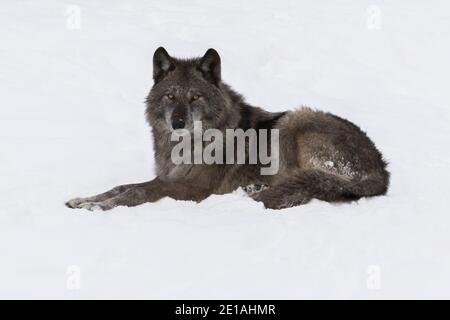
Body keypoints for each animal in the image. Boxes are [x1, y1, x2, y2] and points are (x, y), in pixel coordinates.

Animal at [65, 47, 388, 210]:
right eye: (170, 96)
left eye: (195, 97)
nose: (178, 123)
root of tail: (382, 173)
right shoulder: (167, 177)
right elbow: (122, 186)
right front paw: (84, 200)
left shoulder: (190, 189)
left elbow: (137, 192)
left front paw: (101, 207)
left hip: (292, 121)